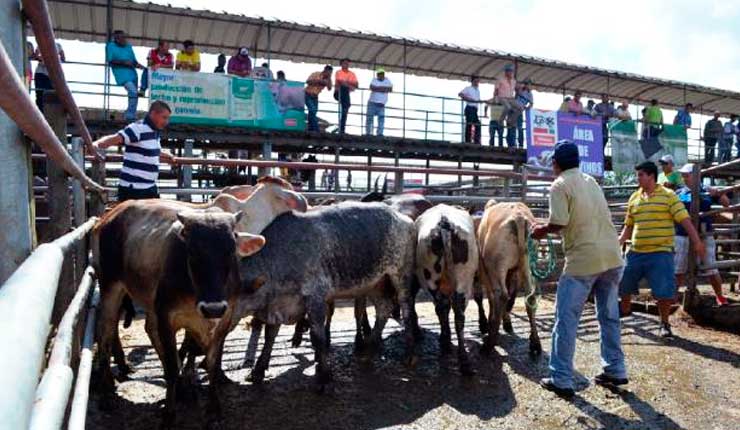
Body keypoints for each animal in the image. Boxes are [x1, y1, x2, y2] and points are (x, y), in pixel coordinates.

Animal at [202, 202, 420, 424]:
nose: (208, 315)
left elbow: (318, 338)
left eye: (225, 304)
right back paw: (369, 350)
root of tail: (403, 217)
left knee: (407, 310)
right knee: (384, 309)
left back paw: (409, 353)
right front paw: (258, 369)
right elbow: (269, 336)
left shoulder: (315, 298)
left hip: (400, 275)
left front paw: (324, 377)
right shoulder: (276, 305)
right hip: (374, 283)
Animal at [414, 203, 476, 374]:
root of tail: (444, 222)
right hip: (461, 281)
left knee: (444, 308)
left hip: (434, 280)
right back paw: (462, 359)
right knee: (457, 314)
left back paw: (448, 344)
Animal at [474, 203, 544, 354]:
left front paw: (489, 322)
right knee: (529, 297)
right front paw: (505, 320)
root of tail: (519, 218)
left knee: (501, 295)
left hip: (496, 266)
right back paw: (535, 343)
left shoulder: (484, 271)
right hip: (527, 264)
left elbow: (489, 298)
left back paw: (489, 343)